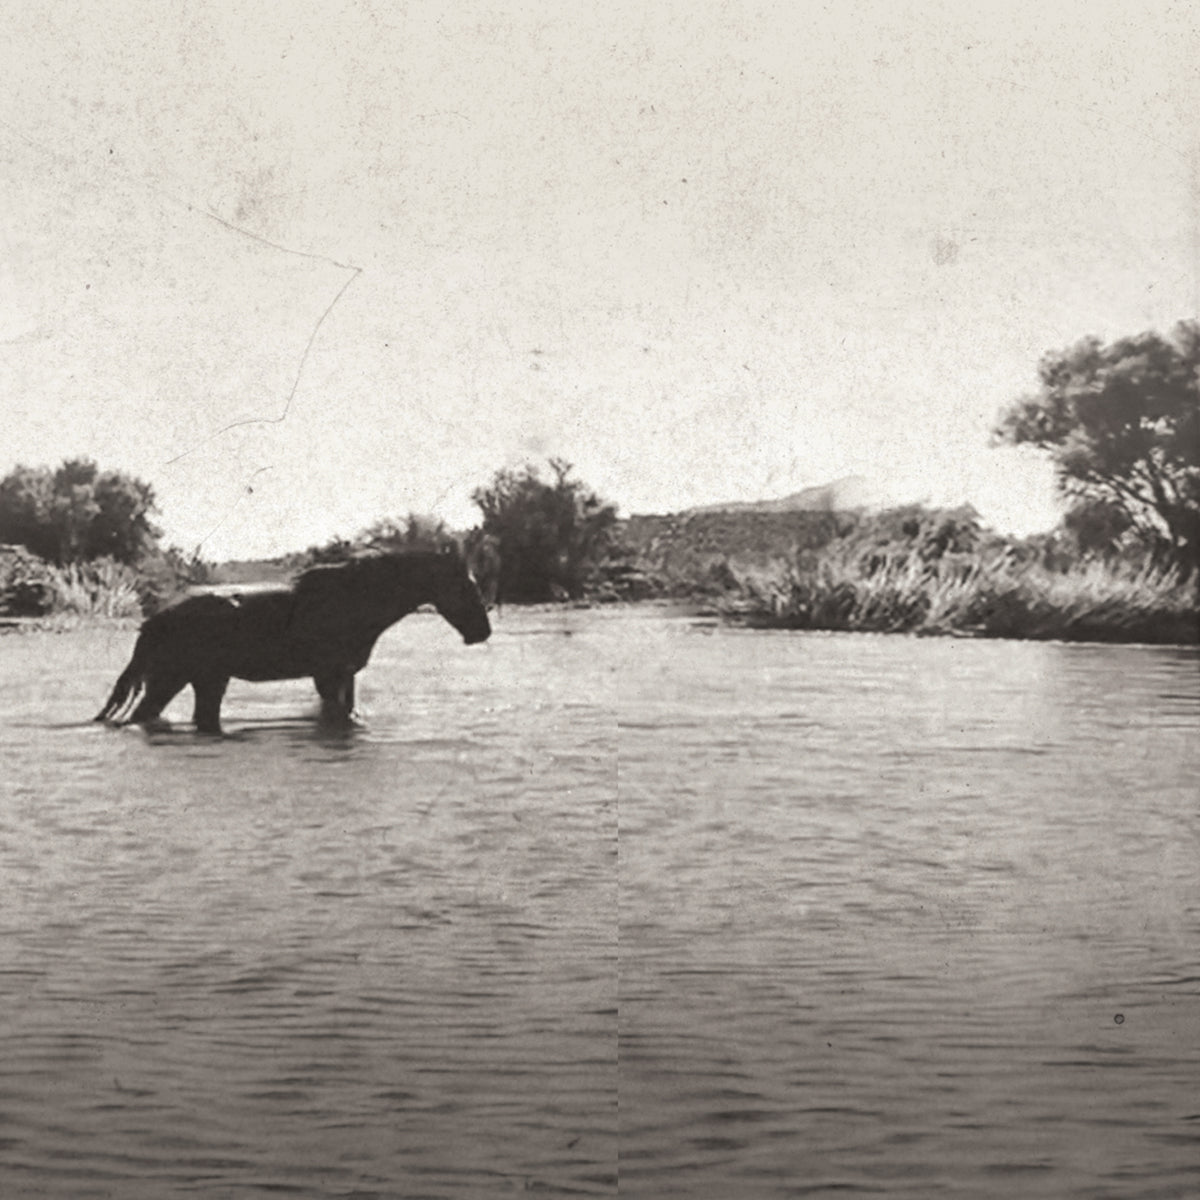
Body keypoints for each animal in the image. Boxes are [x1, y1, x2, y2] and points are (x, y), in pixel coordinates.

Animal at [94, 550, 491, 734]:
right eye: (465, 585)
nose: (482, 631)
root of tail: (153, 621)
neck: (359, 600)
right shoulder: (330, 674)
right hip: (172, 679)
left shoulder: (343, 674)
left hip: (206, 680)